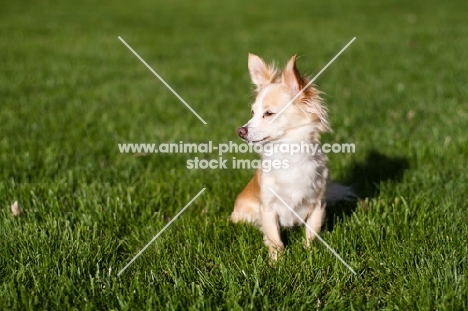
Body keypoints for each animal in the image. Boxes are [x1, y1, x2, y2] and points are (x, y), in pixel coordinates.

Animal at [231, 54, 332, 260]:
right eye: (252, 113)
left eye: (269, 113)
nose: (241, 131)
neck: (288, 152)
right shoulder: (268, 208)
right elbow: (274, 239)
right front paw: (276, 262)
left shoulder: (318, 205)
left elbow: (312, 234)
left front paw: (310, 254)